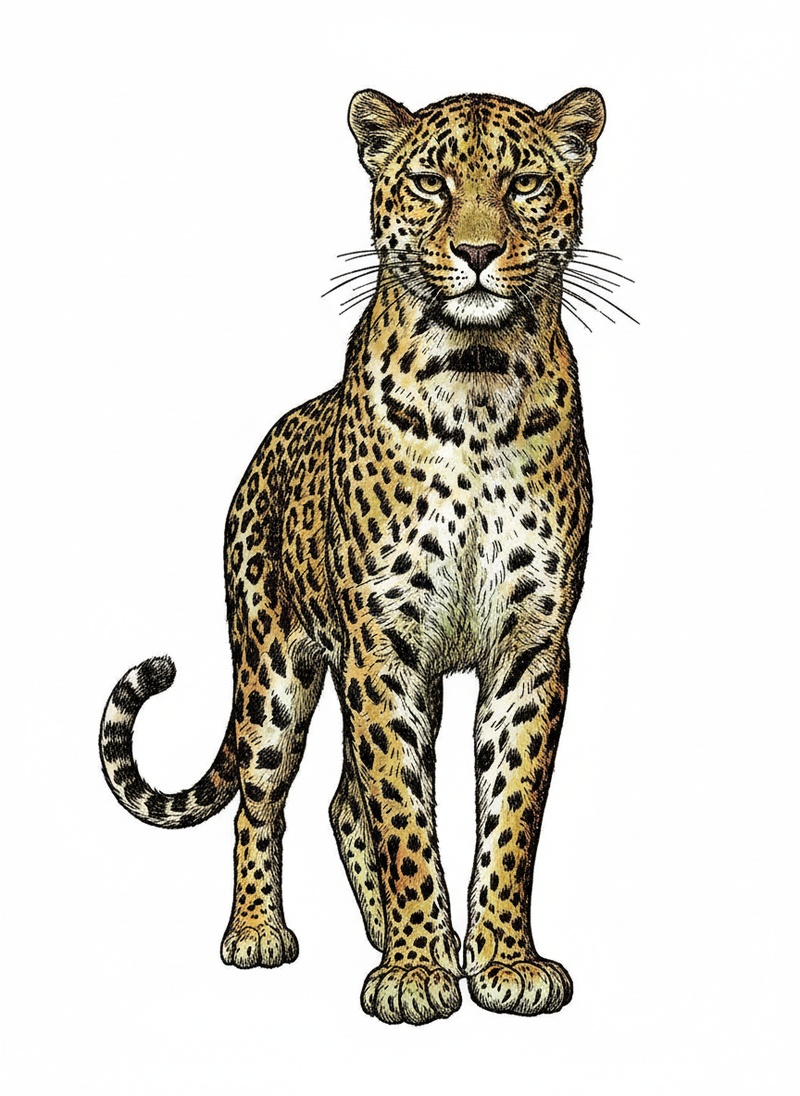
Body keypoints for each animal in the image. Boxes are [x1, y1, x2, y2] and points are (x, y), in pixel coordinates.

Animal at [100, 86, 606, 1025]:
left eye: (523, 184)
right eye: (430, 181)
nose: (477, 252)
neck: (478, 383)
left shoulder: (531, 646)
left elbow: (510, 812)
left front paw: (500, 959)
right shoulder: (383, 643)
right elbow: (402, 809)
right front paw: (414, 975)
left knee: (342, 799)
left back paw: (413, 937)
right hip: (274, 671)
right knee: (262, 801)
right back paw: (262, 935)